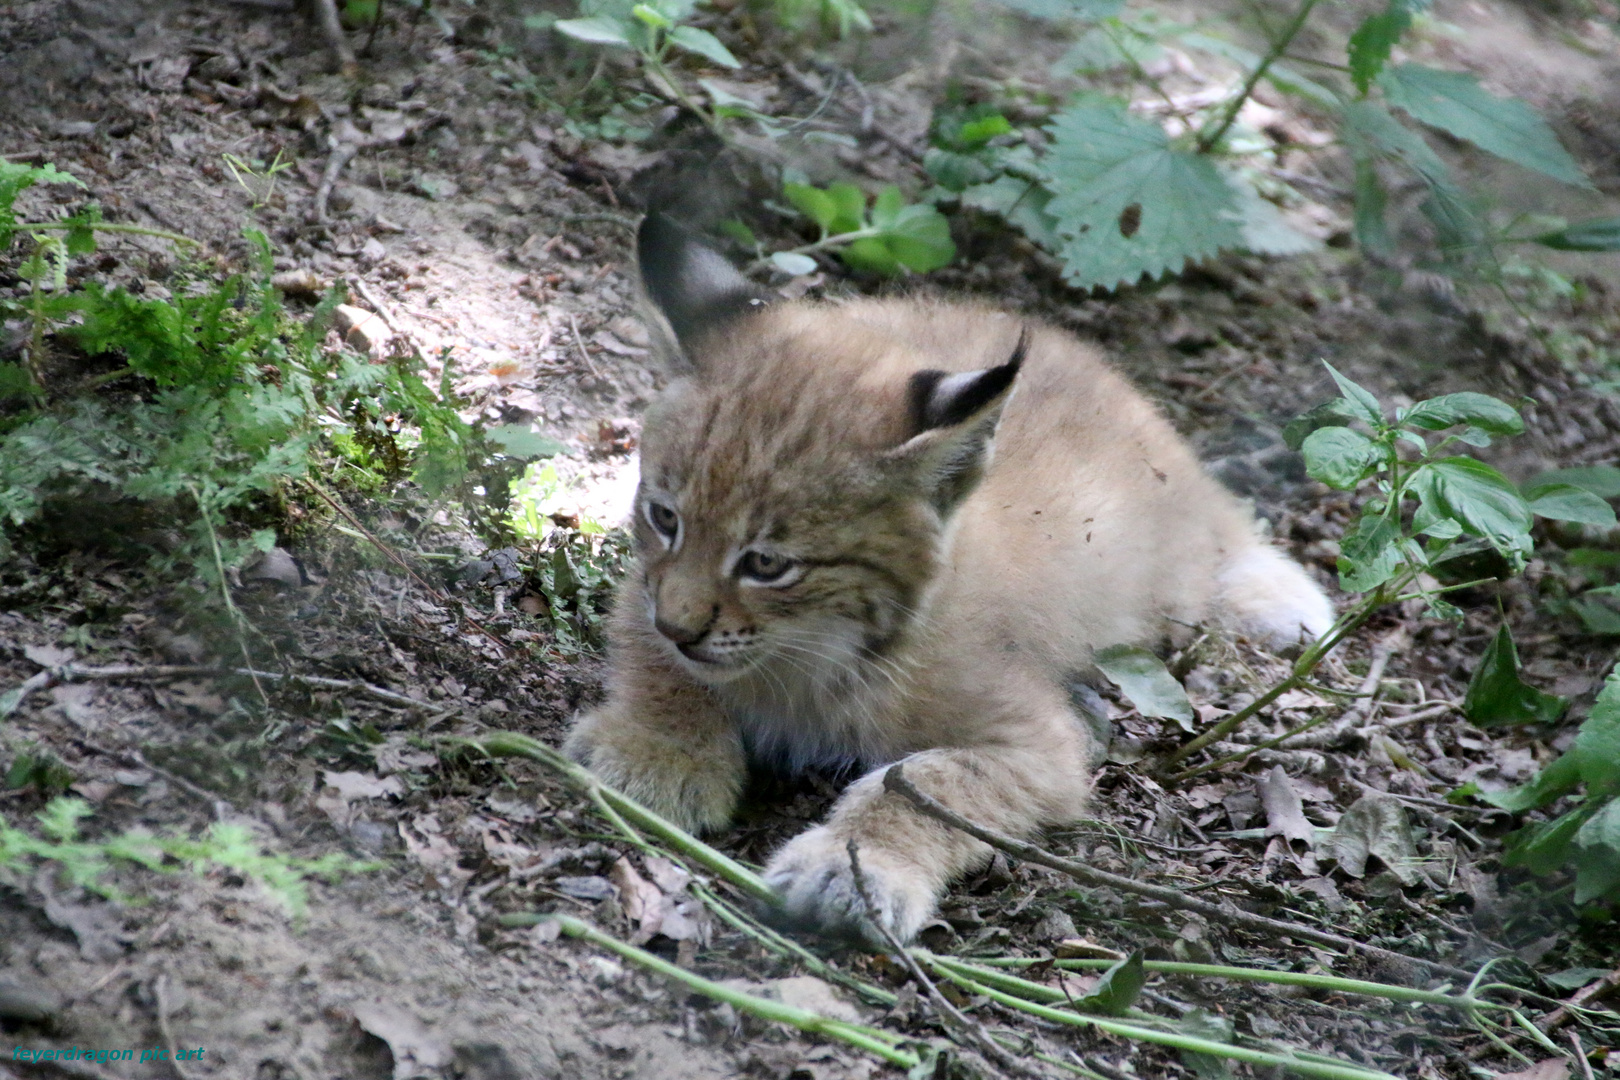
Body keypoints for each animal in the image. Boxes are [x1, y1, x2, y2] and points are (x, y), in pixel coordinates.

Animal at [567, 215, 1328, 939]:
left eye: (767, 563)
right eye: (665, 518)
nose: (680, 627)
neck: (817, 647)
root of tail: (1102, 367)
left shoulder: (1043, 742)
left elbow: (923, 779)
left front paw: (858, 867)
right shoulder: (642, 588)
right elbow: (659, 664)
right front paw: (659, 752)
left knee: (1219, 523)